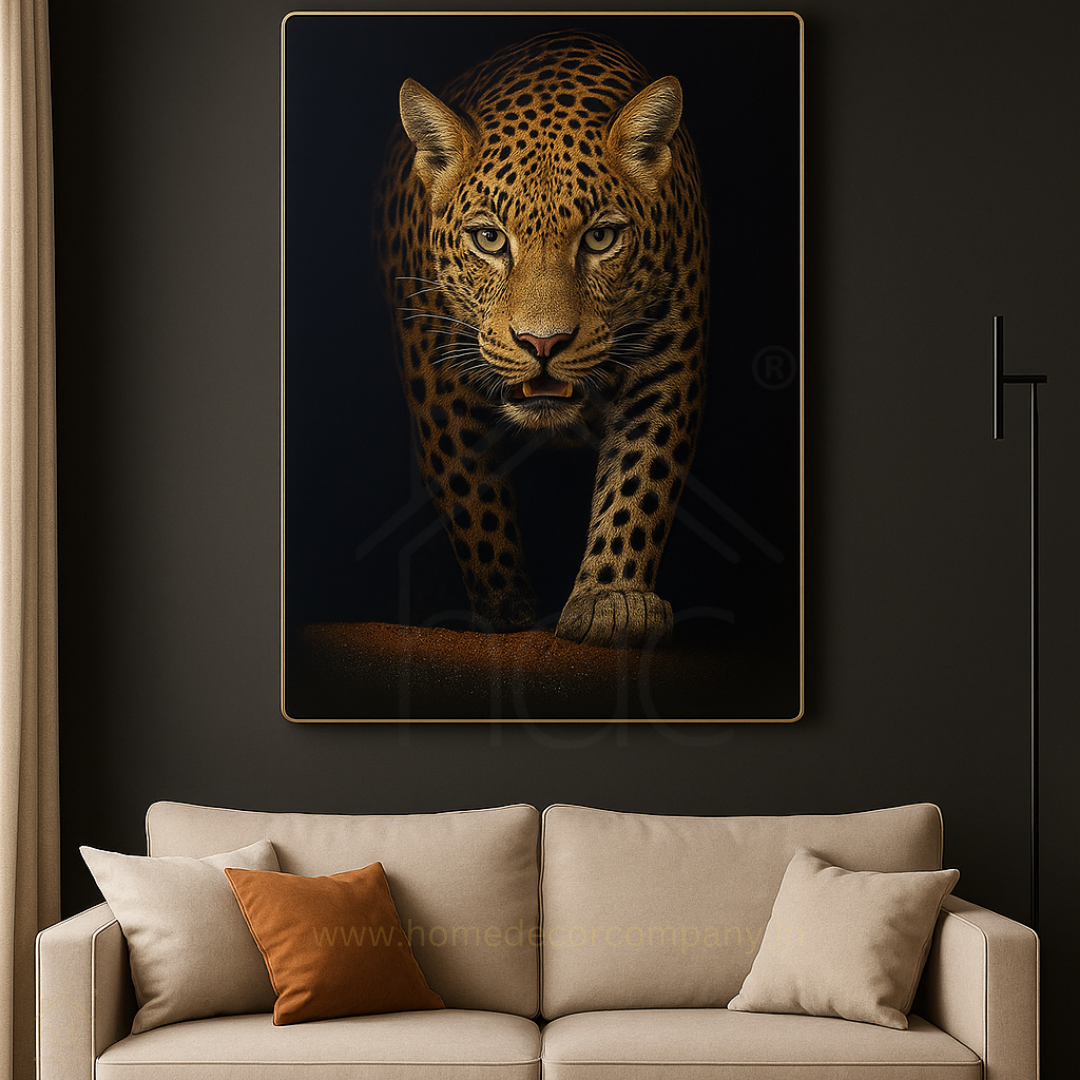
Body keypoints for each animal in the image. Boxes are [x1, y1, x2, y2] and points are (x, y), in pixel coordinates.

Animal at [373, 29, 709, 648]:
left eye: (601, 238)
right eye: (488, 239)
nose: (542, 344)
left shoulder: (669, 357)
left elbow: (642, 472)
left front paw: (612, 600)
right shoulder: (437, 375)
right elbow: (472, 495)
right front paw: (507, 614)